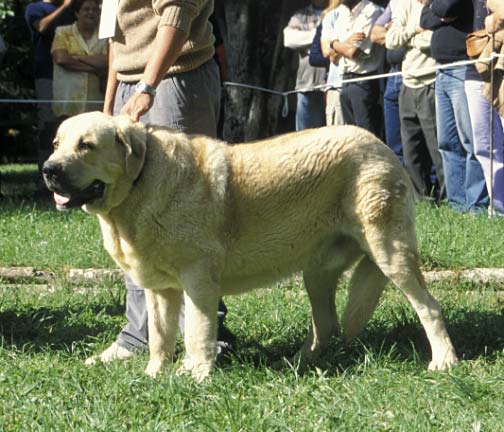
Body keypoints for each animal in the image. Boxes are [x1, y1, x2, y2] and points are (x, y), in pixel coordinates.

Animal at [43, 112, 458, 382]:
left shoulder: (198, 280)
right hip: (317, 272)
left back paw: (444, 361)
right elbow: (160, 339)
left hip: (390, 252)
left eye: (86, 146)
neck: (139, 185)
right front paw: (153, 376)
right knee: (326, 323)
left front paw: (195, 375)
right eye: (57, 144)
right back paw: (299, 363)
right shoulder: (160, 290)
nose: (49, 169)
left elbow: (196, 332)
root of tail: (381, 145)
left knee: (429, 307)